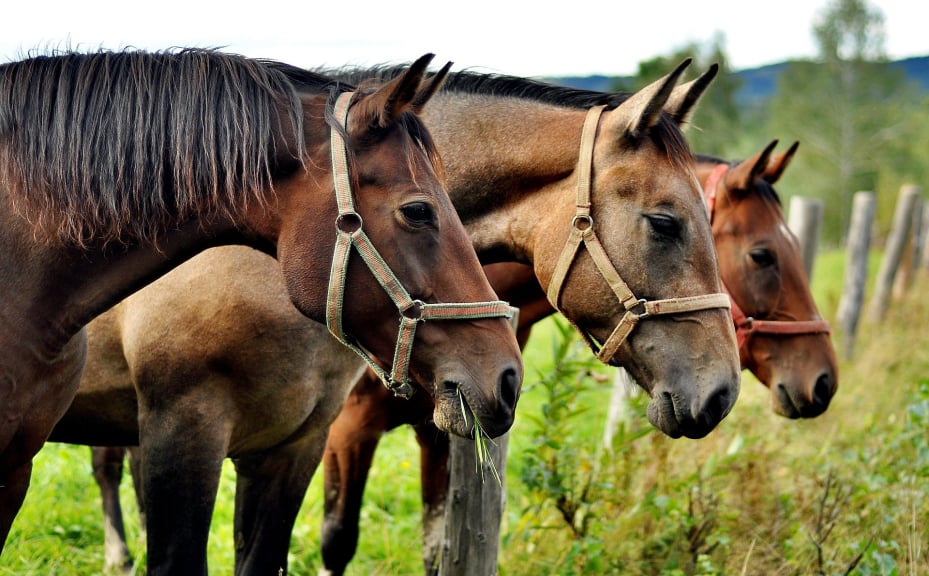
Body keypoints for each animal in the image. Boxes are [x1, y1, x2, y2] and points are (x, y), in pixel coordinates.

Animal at [315, 140, 840, 575]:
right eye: (762, 255)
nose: (824, 380)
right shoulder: (347, 430)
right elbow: (337, 542)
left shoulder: (441, 429)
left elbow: (436, 549)